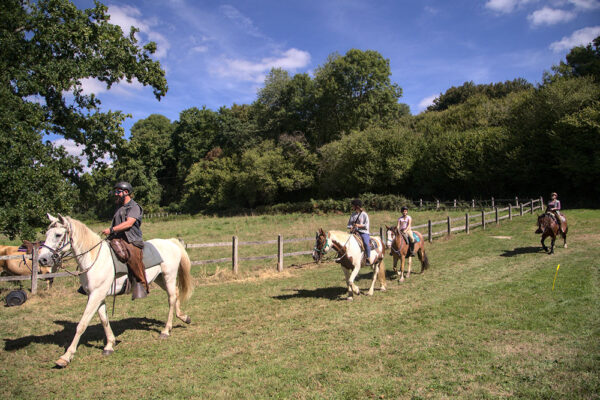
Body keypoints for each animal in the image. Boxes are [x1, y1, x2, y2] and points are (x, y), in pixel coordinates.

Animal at [38, 214, 192, 368]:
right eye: (46, 234)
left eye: (58, 235)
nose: (42, 260)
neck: (94, 258)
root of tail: (170, 242)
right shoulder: (97, 295)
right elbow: (103, 319)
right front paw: (109, 345)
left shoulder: (96, 295)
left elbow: (82, 324)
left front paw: (66, 356)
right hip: (159, 278)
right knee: (176, 293)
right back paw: (184, 317)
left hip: (169, 276)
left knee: (171, 298)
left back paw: (166, 330)